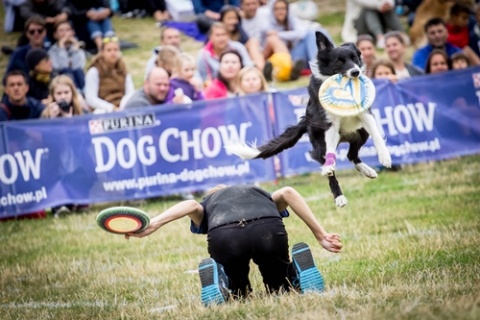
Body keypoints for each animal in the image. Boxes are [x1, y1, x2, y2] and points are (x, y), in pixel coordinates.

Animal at [225, 31, 390, 208]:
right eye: (339, 61)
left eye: (355, 58)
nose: (356, 72)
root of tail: (306, 120)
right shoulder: (329, 124)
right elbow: (331, 157)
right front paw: (330, 169)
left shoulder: (365, 115)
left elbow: (377, 135)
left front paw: (385, 157)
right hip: (321, 143)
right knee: (333, 164)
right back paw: (339, 196)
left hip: (360, 132)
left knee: (351, 154)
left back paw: (368, 170)